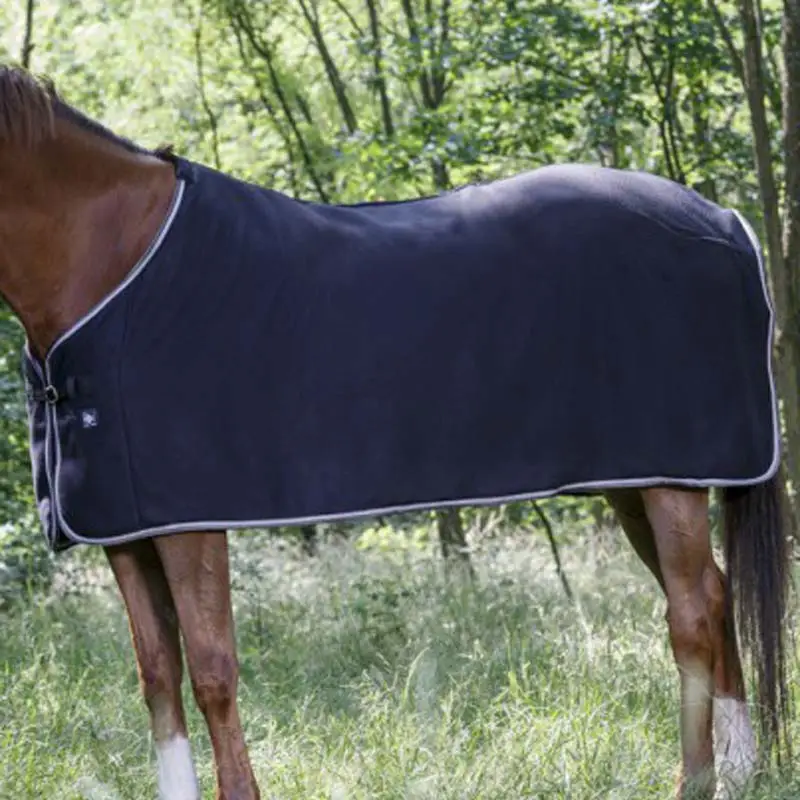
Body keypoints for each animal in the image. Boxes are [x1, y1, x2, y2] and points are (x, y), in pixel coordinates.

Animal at [0, 65, 791, 800]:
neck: (115, 268)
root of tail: (725, 220)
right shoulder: (126, 530)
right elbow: (158, 675)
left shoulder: (188, 524)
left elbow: (213, 671)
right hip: (634, 481)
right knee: (715, 593)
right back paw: (741, 768)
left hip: (673, 478)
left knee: (691, 614)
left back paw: (696, 779)